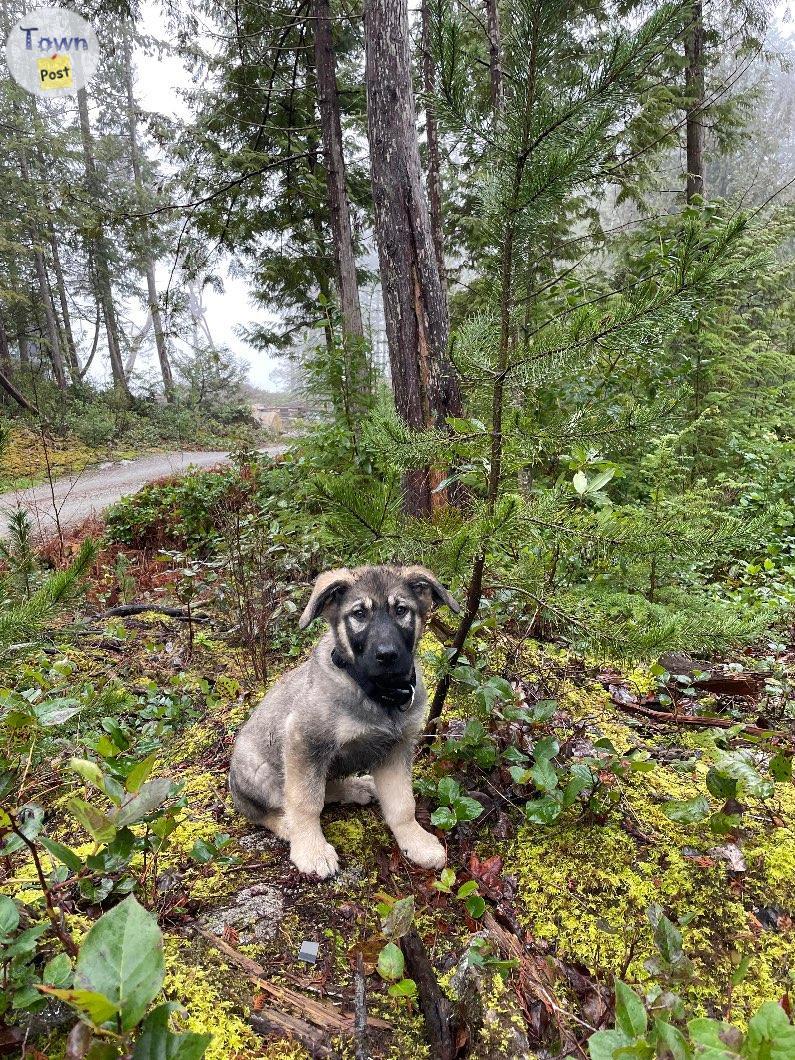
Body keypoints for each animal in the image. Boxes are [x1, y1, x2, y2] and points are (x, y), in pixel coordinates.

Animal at [226, 563, 460, 877]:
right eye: (359, 614)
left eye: (401, 610)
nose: (387, 655)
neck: (375, 692)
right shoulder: (304, 741)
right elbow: (305, 802)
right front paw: (311, 849)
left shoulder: (396, 748)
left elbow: (402, 804)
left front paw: (416, 842)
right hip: (260, 772)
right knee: (269, 808)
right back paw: (288, 825)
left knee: (325, 787)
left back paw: (356, 787)